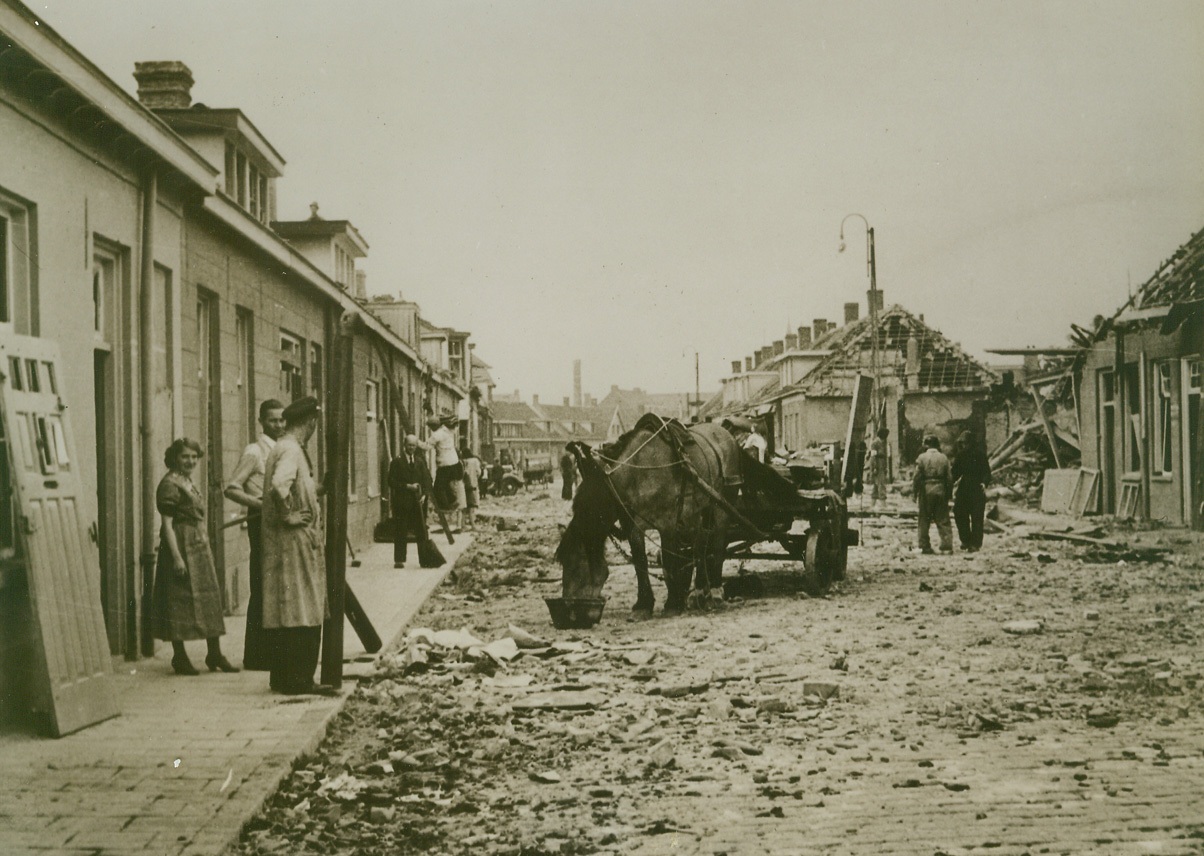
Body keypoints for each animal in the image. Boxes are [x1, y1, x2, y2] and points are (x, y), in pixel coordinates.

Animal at [556, 414, 741, 616]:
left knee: (718, 541)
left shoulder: (668, 523)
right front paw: (644, 604)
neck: (640, 470)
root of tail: (725, 433)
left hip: (722, 505)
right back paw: (700, 590)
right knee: (702, 542)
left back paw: (715, 590)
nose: (566, 606)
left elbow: (668, 561)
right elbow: (640, 561)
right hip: (699, 509)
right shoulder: (633, 525)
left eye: (575, 564)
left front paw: (673, 603)